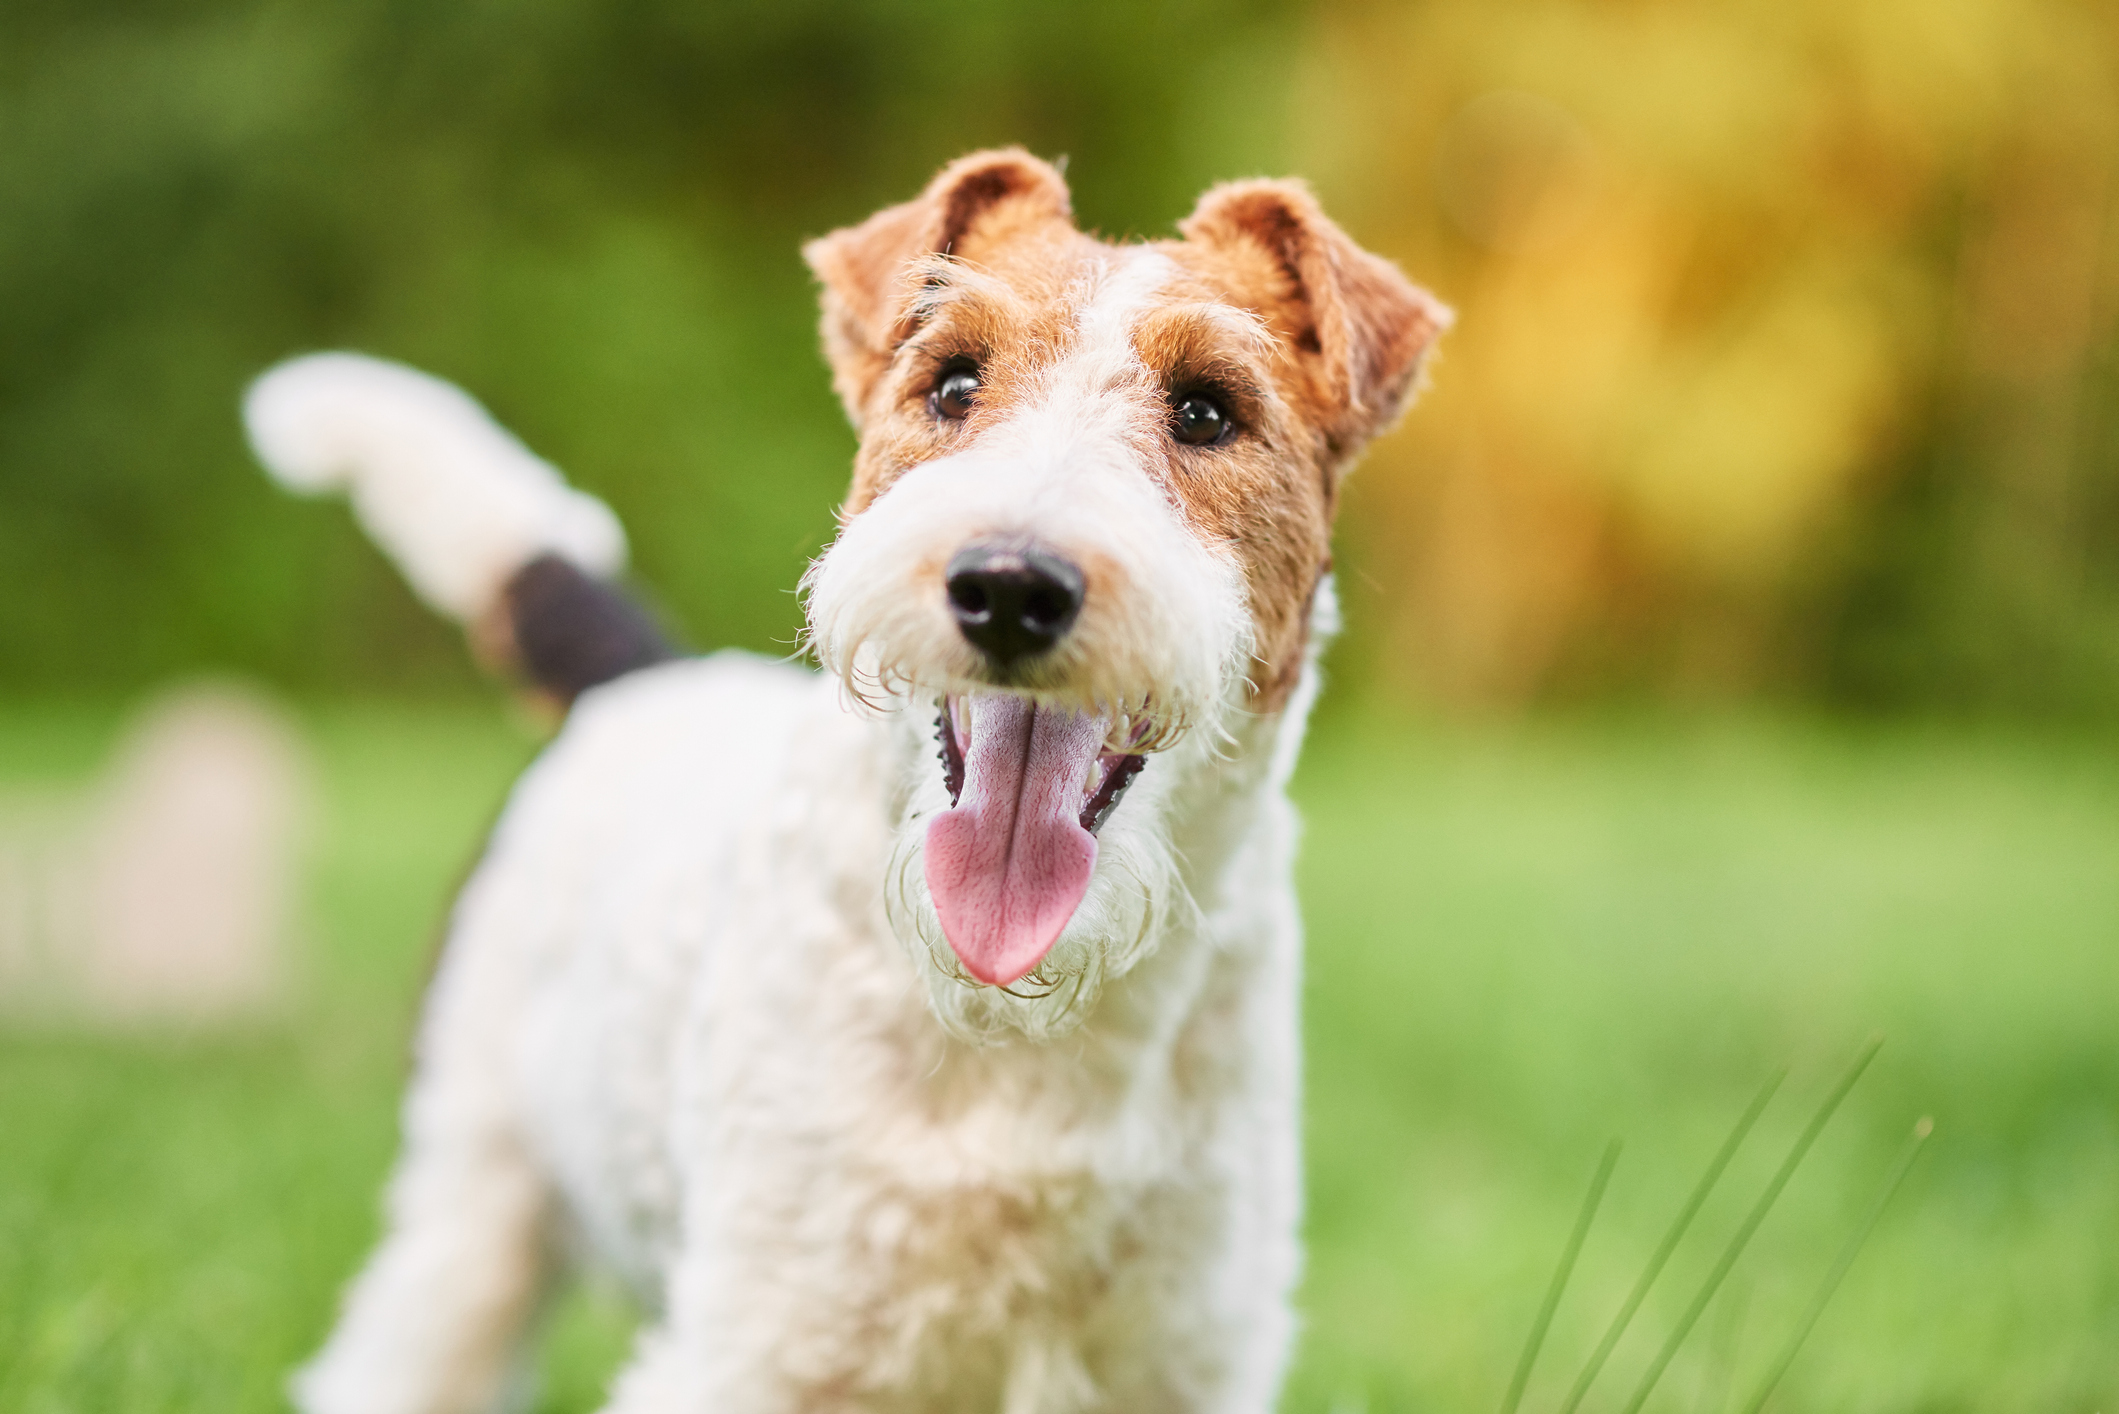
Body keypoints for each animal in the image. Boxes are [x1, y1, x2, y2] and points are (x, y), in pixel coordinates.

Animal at [243, 149, 1440, 1407]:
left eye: (1208, 409)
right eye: (953, 382)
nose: (1009, 585)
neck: (1018, 1020)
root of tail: (638, 678)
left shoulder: (1181, 1354)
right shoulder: (761, 1344)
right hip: (476, 1193)